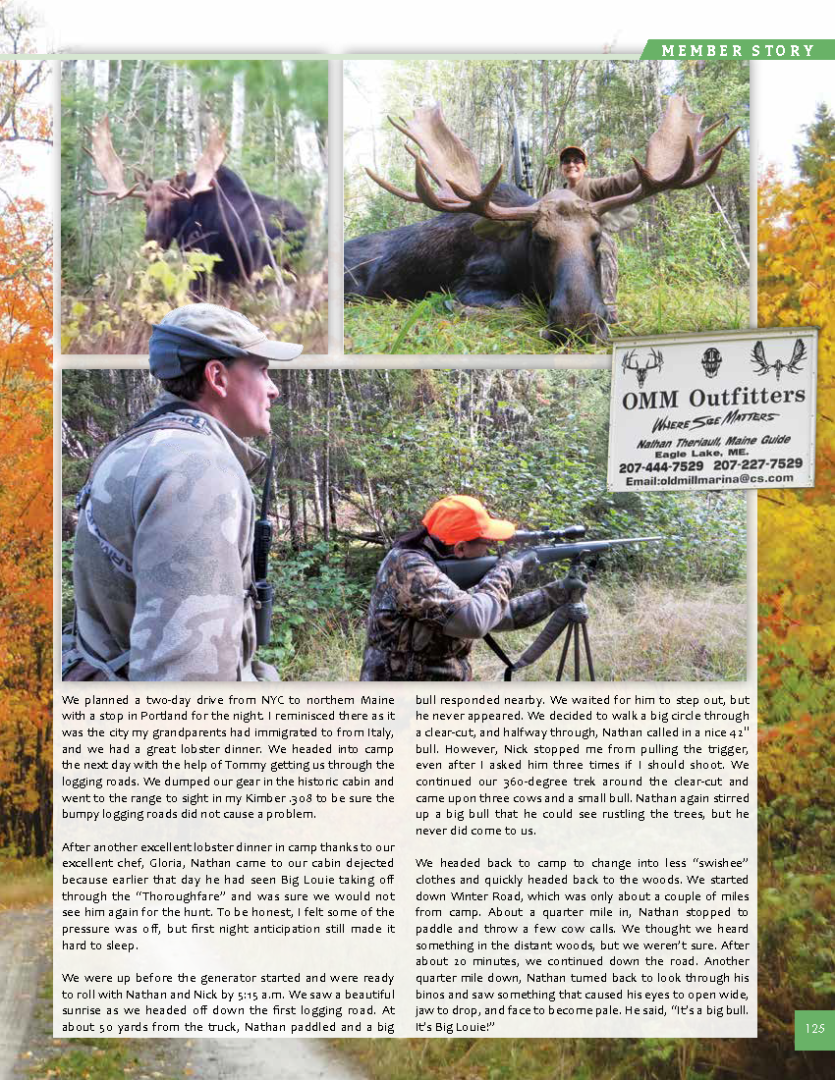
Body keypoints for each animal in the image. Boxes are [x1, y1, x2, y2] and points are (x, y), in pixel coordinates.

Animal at [86, 117, 306, 287]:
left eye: (170, 207)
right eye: (145, 206)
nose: (151, 242)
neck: (188, 213)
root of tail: (297, 227)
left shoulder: (198, 257)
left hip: (265, 267)